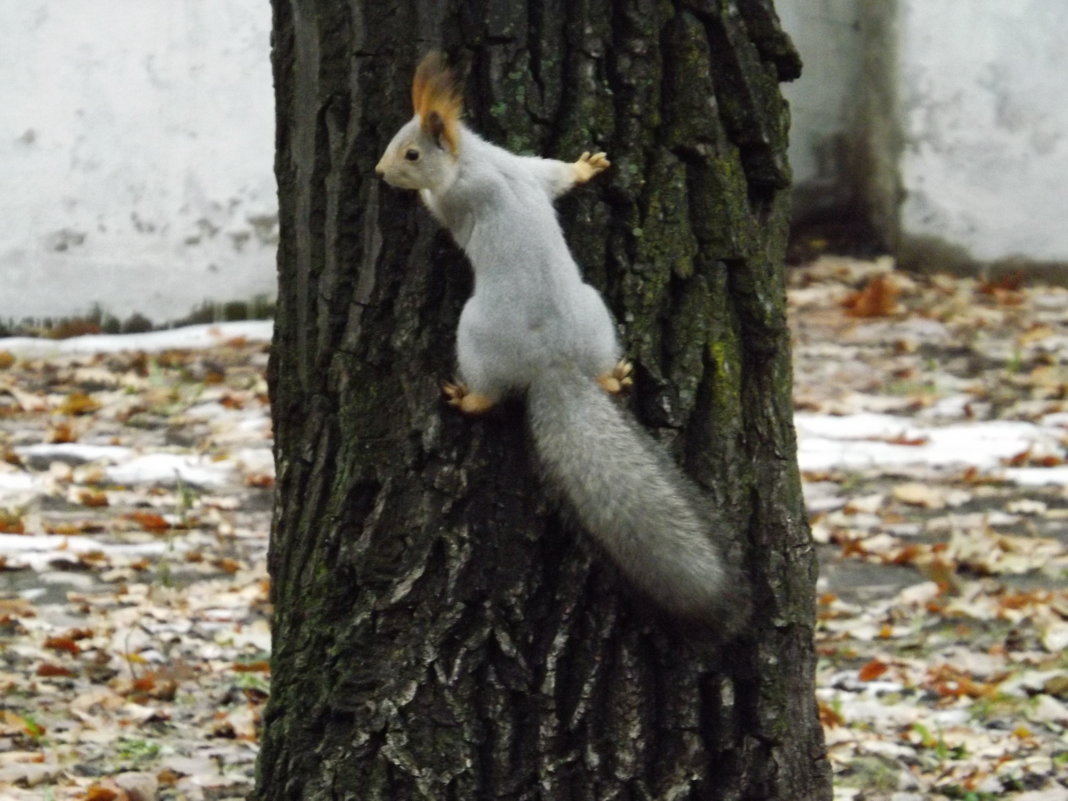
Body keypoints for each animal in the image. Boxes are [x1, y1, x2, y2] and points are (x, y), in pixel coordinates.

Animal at [375, 51, 751, 632]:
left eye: (411, 153)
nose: (379, 173)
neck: (476, 161)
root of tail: (553, 364)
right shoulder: (525, 167)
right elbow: (554, 174)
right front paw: (586, 167)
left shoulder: (458, 197)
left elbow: (441, 210)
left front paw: (415, 196)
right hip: (596, 311)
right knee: (602, 370)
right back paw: (613, 376)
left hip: (472, 336)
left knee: (490, 396)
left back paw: (467, 398)